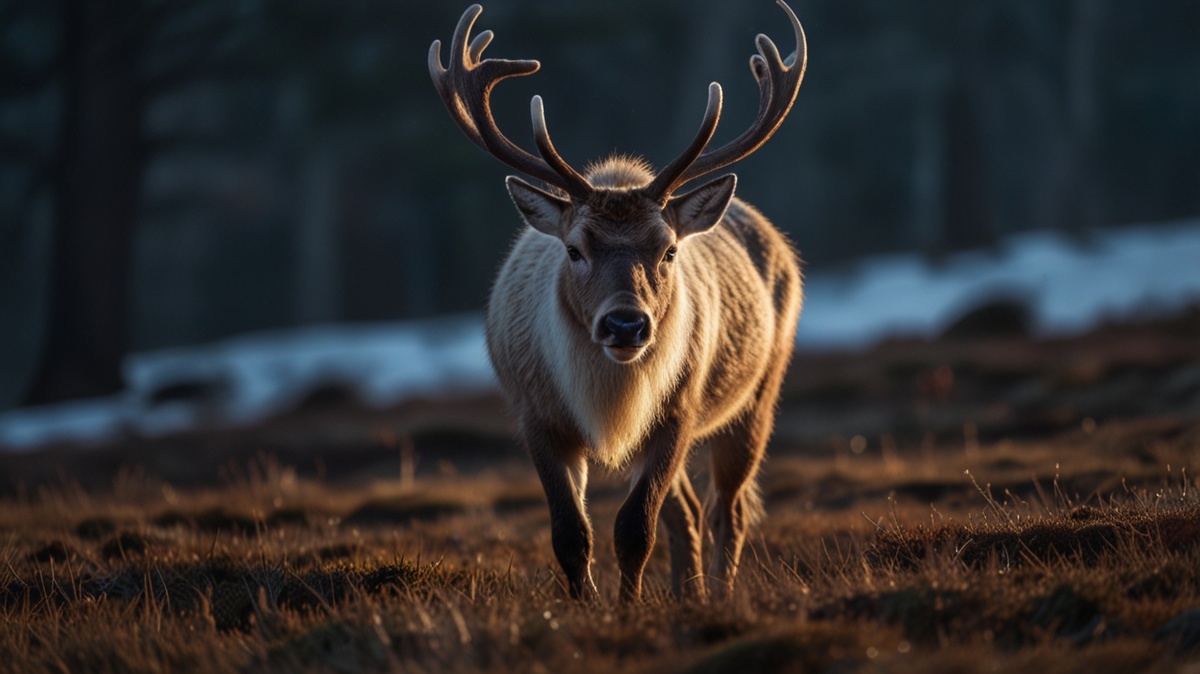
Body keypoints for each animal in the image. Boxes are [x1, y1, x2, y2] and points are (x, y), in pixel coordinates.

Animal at [429, 0, 806, 602]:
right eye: (575, 249)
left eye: (669, 249)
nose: (626, 325)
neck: (606, 397)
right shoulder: (536, 414)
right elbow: (570, 533)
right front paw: (588, 606)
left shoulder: (678, 411)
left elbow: (635, 528)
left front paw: (627, 608)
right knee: (689, 510)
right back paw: (687, 593)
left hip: (757, 397)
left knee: (727, 508)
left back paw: (718, 594)